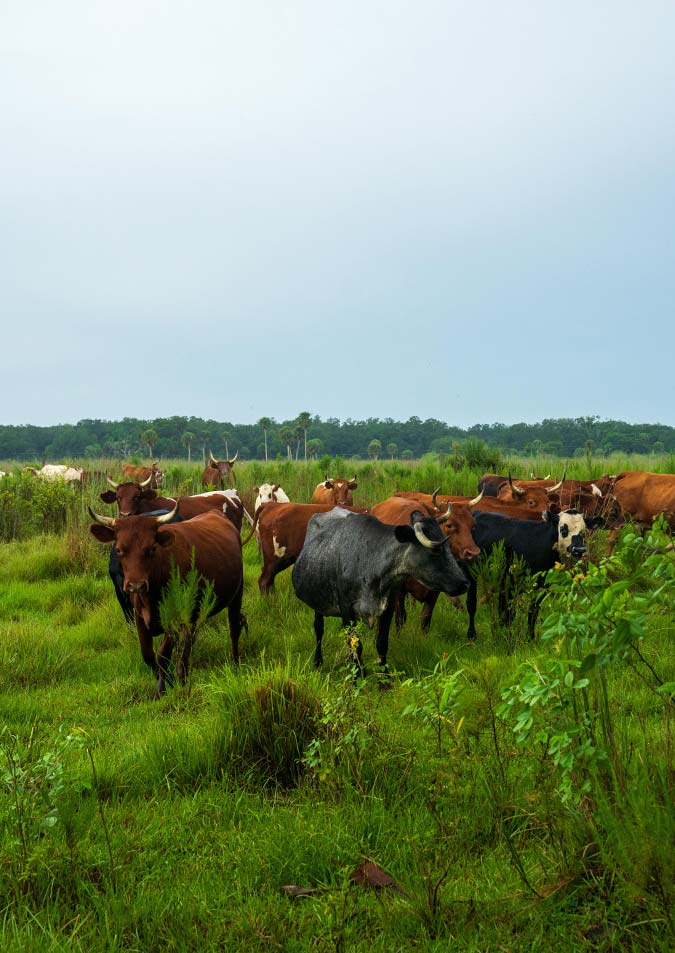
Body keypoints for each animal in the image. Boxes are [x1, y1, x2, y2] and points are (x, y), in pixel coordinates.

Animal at [89, 504, 246, 698]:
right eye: (118, 550)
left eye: (151, 548)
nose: (135, 585)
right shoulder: (138, 616)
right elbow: (148, 654)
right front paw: (167, 680)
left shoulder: (174, 618)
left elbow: (162, 653)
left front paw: (162, 687)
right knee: (190, 640)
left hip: (237, 593)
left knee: (234, 629)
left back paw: (235, 663)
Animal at [291, 508, 469, 674]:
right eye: (435, 550)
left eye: (448, 546)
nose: (464, 584)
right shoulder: (347, 609)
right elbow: (356, 646)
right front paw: (358, 676)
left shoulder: (388, 607)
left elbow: (381, 644)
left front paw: (385, 679)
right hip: (317, 603)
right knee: (319, 629)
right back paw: (318, 662)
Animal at [465, 508, 602, 641]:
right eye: (563, 529)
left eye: (583, 532)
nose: (579, 550)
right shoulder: (511, 584)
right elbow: (509, 614)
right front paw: (507, 639)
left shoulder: (540, 587)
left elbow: (532, 614)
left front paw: (530, 639)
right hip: (471, 572)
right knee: (471, 603)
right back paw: (471, 635)